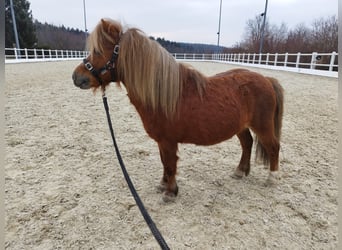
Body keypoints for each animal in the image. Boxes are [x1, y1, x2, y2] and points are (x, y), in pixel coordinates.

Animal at [73, 18, 286, 202]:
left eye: (98, 51)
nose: (76, 77)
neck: (161, 94)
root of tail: (267, 79)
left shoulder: (168, 141)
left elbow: (169, 164)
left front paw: (170, 192)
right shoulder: (161, 141)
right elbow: (164, 163)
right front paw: (163, 185)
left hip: (263, 126)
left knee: (273, 146)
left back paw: (272, 179)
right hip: (241, 126)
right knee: (247, 144)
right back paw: (240, 171)